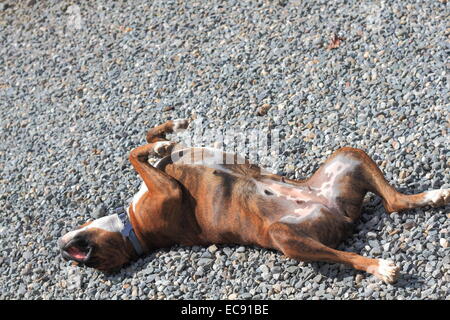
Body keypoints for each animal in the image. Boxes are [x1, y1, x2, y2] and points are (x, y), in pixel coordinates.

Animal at [58, 119, 448, 282]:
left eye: (86, 260)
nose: (63, 251)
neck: (134, 232)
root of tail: (336, 212)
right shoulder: (167, 190)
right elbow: (136, 152)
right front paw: (160, 144)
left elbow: (148, 139)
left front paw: (169, 130)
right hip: (286, 237)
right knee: (348, 252)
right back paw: (379, 267)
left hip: (348, 156)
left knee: (395, 202)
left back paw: (434, 195)